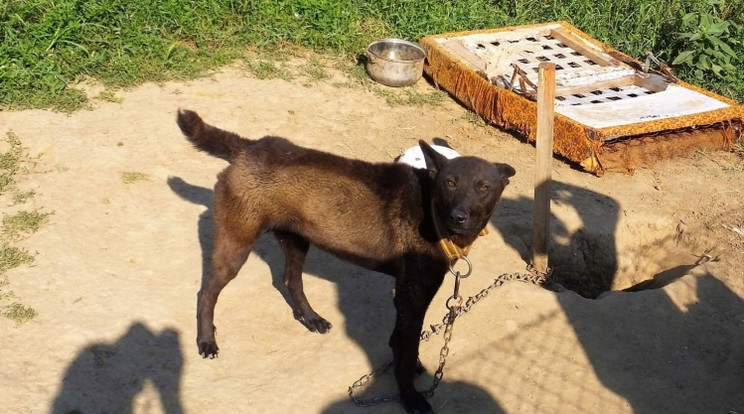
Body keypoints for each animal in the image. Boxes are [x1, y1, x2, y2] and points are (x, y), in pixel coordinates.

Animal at [177, 108, 516, 412]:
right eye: (450, 182)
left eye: (484, 187)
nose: (458, 217)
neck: (430, 209)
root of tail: (248, 147)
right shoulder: (412, 298)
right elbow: (406, 354)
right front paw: (410, 397)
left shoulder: (406, 297)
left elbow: (401, 342)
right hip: (236, 245)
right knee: (206, 293)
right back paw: (206, 340)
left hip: (296, 241)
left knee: (291, 280)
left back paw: (311, 318)